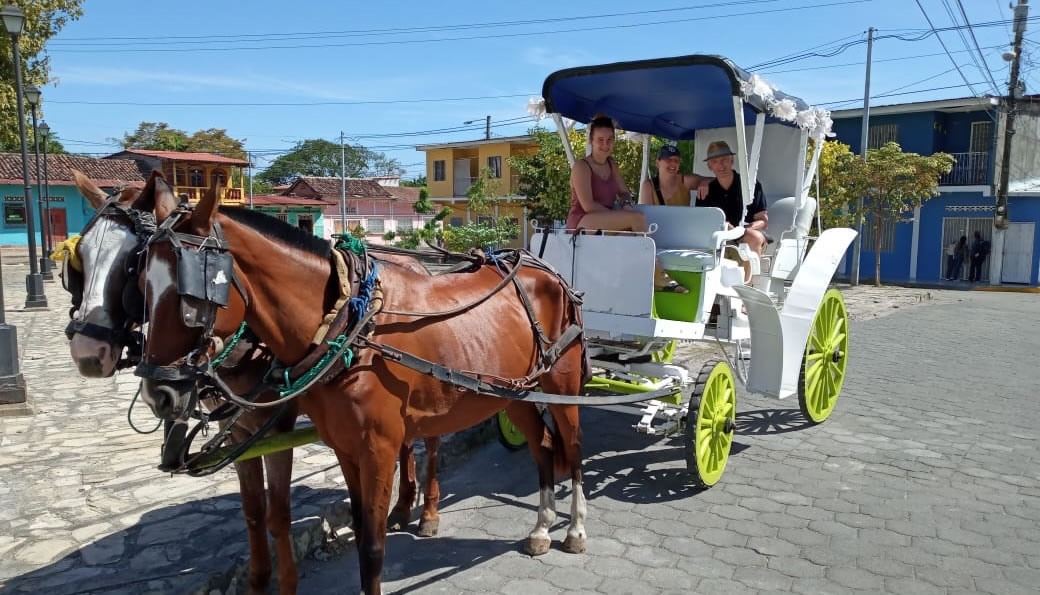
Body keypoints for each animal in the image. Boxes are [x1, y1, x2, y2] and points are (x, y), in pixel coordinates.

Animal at [132, 172, 586, 595]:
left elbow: (372, 548)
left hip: (561, 387)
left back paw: (574, 529)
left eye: (191, 294)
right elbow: (357, 528)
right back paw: (542, 528)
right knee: (543, 447)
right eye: (142, 286)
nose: (159, 395)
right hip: (515, 393)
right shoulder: (345, 448)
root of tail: (541, 269)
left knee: (572, 447)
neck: (348, 326)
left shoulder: (378, 450)